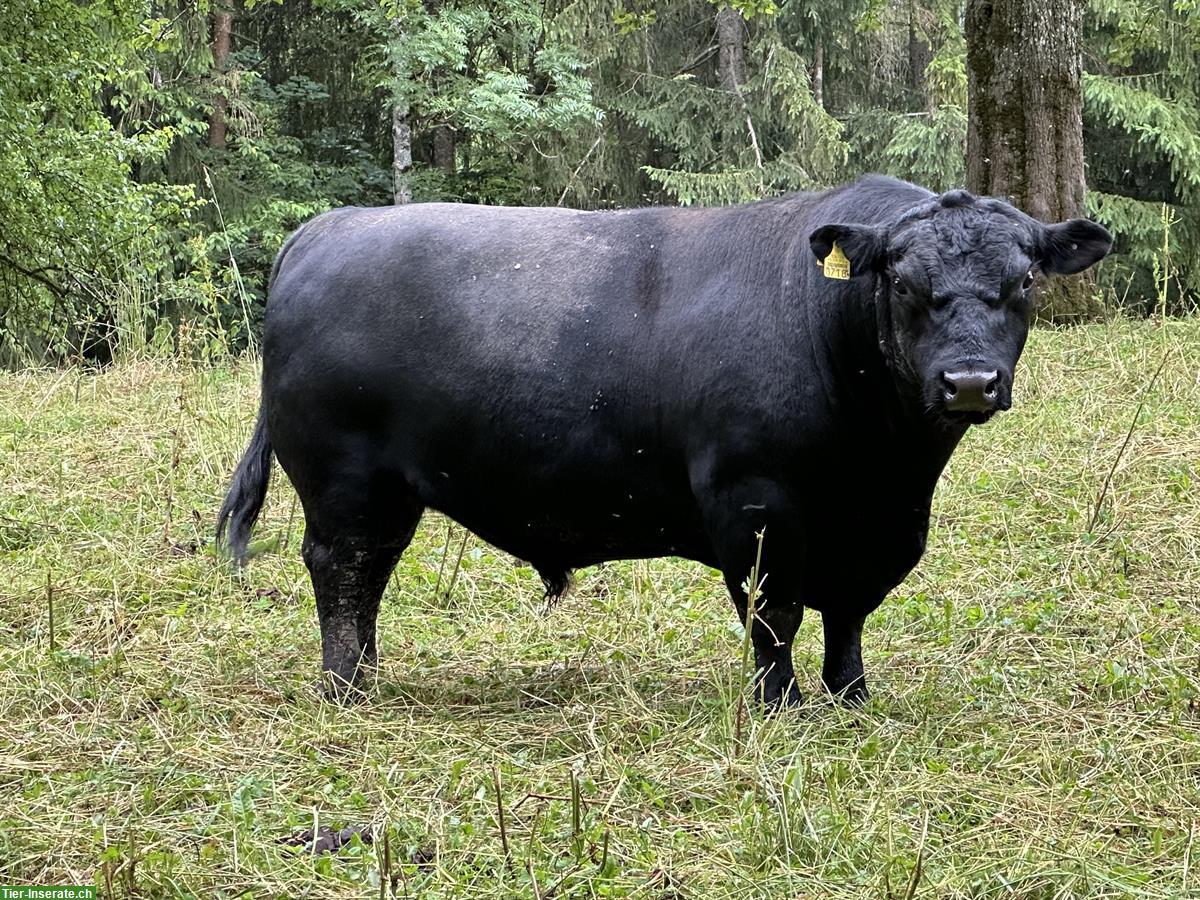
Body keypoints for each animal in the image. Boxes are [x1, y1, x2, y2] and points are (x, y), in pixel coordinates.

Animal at [218, 176, 1113, 710]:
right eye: (899, 280)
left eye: (1024, 280)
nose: (969, 382)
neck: (884, 467)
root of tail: (332, 226)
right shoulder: (756, 503)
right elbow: (775, 612)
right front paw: (782, 706)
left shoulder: (876, 528)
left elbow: (850, 611)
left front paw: (851, 696)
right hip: (343, 479)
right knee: (343, 572)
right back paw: (346, 686)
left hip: (387, 491)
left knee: (367, 578)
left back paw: (367, 674)